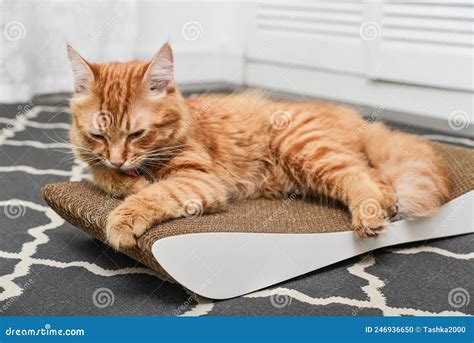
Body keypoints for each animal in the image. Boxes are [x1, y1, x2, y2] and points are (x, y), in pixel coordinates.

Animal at [65, 42, 448, 250]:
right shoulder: (99, 162)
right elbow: (104, 175)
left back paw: (369, 216)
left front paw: (123, 217)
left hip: (304, 147)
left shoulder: (199, 179)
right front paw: (124, 180)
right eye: (99, 136)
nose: (118, 159)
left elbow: (153, 194)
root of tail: (356, 119)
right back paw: (384, 204)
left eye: (136, 134)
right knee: (375, 177)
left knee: (359, 177)